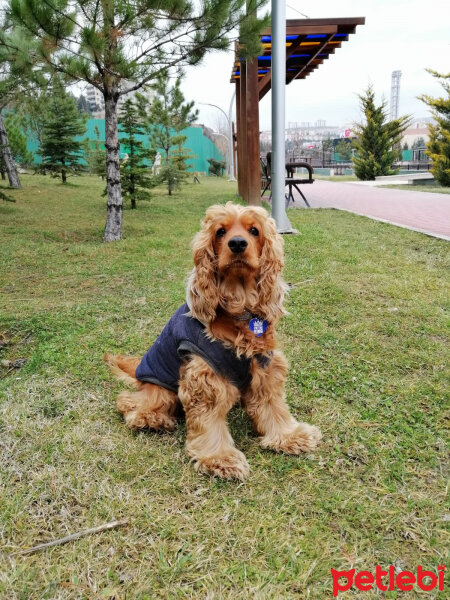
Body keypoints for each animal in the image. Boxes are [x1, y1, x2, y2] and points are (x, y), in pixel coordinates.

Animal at [106, 204, 322, 480]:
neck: (239, 310)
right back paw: (150, 419)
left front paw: (289, 435)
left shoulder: (265, 366)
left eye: (254, 230)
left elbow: (273, 406)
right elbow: (208, 421)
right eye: (220, 231)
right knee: (133, 400)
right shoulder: (204, 376)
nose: (238, 243)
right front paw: (219, 458)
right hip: (160, 387)